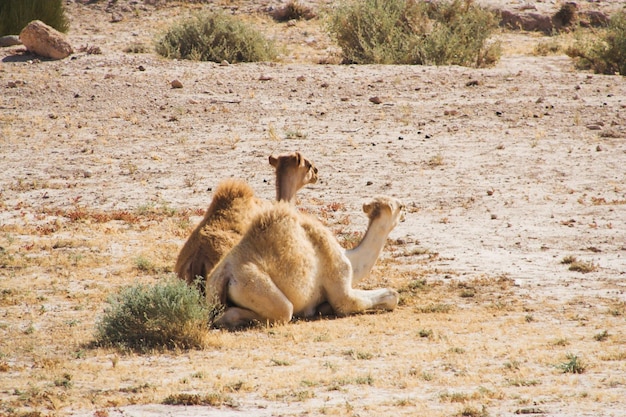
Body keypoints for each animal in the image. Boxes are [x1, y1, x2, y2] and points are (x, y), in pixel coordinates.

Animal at [205, 195, 400, 328]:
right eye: (399, 206)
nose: (404, 208)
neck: (350, 258)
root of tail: (225, 274)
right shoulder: (340, 283)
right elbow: (386, 296)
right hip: (252, 284)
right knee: (283, 311)